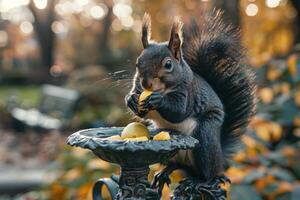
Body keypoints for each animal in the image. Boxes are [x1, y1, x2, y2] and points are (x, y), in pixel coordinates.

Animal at [125, 10, 256, 198]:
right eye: (137, 63)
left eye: (168, 64)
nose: (145, 84)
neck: (162, 89)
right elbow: (139, 109)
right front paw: (131, 99)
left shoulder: (188, 94)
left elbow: (178, 112)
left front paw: (158, 100)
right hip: (170, 153)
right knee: (178, 165)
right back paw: (164, 173)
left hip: (206, 136)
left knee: (210, 174)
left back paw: (203, 181)